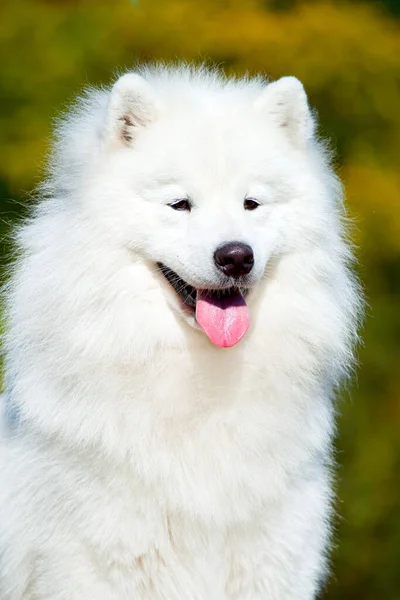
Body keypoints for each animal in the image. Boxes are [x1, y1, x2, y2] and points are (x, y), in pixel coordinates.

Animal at [0, 65, 360, 600]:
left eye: (252, 203)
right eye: (179, 204)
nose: (236, 256)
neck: (201, 379)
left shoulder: (271, 564)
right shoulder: (97, 565)